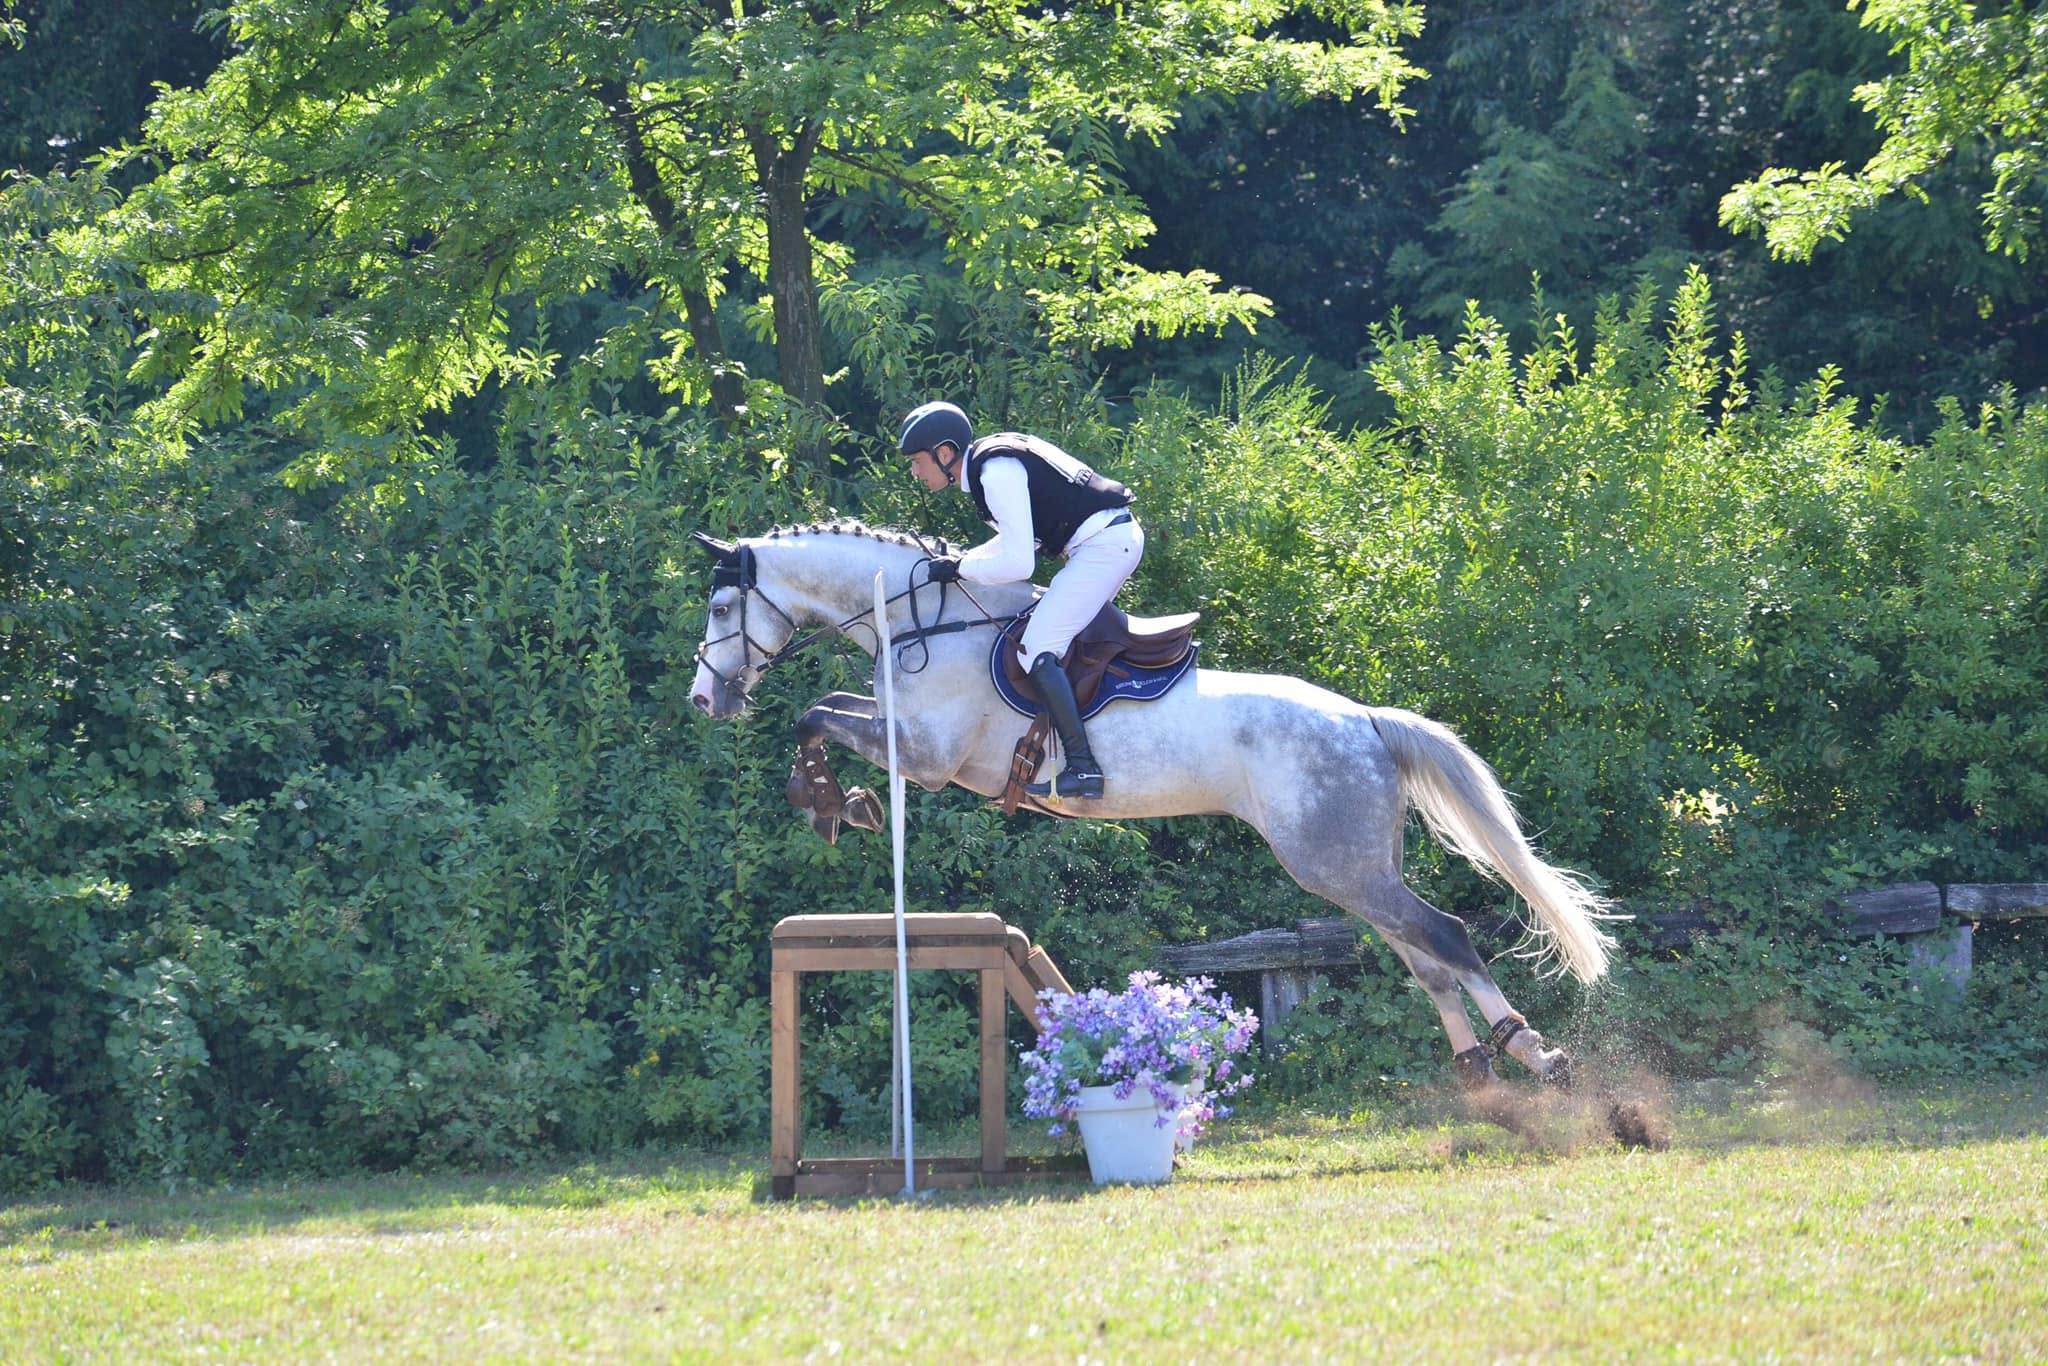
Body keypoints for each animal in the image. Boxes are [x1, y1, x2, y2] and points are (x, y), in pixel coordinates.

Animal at [687, 520, 1619, 1093]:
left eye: (723, 606)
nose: (705, 700)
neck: (925, 624)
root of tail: (1365, 720)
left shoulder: (927, 756)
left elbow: (817, 715)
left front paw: (829, 803)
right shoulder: (909, 740)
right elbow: (828, 709)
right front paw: (835, 804)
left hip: (1334, 862)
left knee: (1447, 937)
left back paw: (1540, 1056)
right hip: (1354, 867)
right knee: (1425, 956)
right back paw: (1480, 1071)